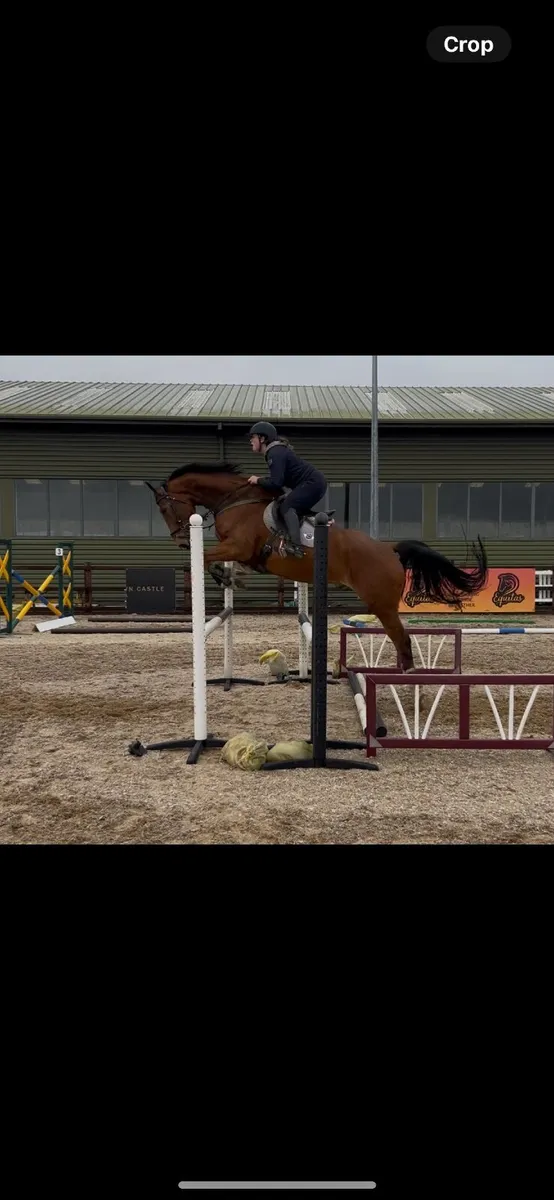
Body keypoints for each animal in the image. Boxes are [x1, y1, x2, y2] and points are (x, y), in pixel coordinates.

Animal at [147, 462, 488, 673]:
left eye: (164, 507)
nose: (181, 541)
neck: (236, 501)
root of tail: (388, 548)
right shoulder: (242, 552)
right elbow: (218, 562)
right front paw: (233, 577)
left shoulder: (238, 546)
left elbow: (205, 558)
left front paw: (226, 576)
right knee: (399, 640)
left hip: (382, 604)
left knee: (402, 640)